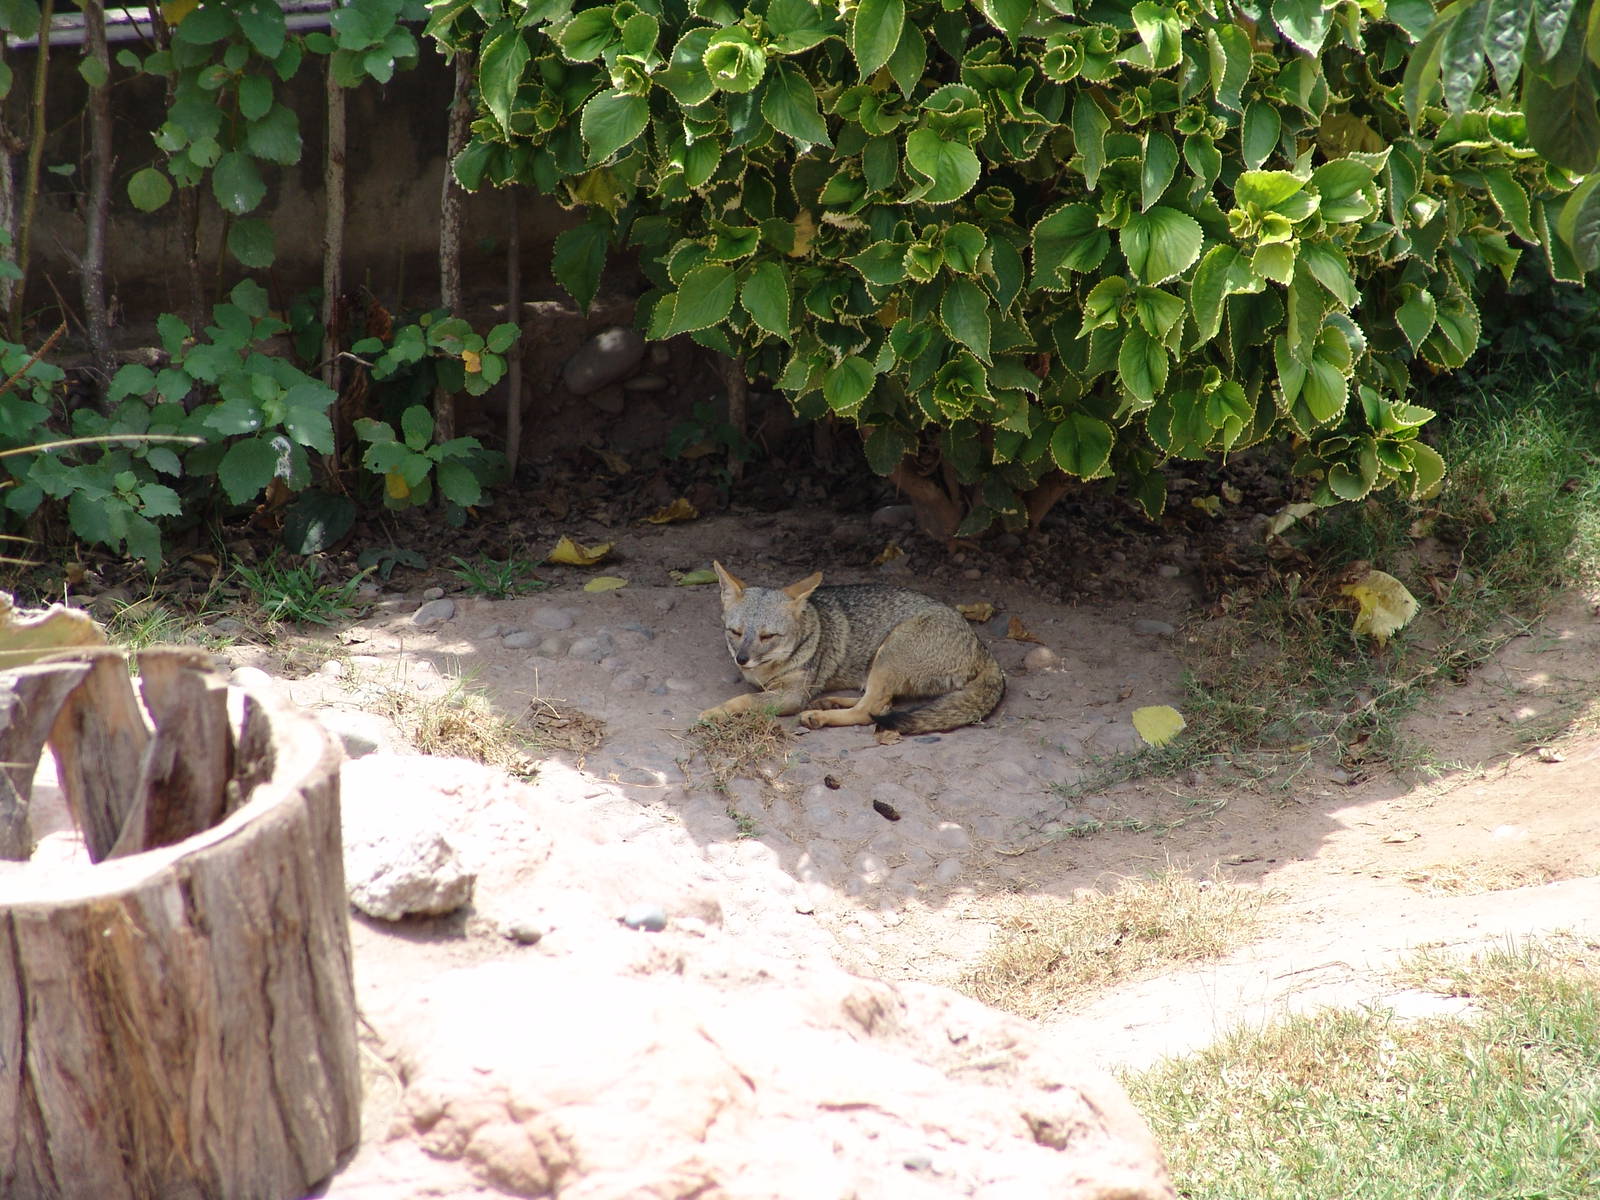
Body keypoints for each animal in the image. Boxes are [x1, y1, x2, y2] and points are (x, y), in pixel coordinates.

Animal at [697, 561, 1005, 735]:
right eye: (735, 632)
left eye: (767, 636)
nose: (742, 659)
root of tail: (981, 647)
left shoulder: (792, 696)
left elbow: (744, 699)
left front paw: (714, 712)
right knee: (881, 703)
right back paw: (829, 703)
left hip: (889, 653)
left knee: (870, 709)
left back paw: (819, 716)